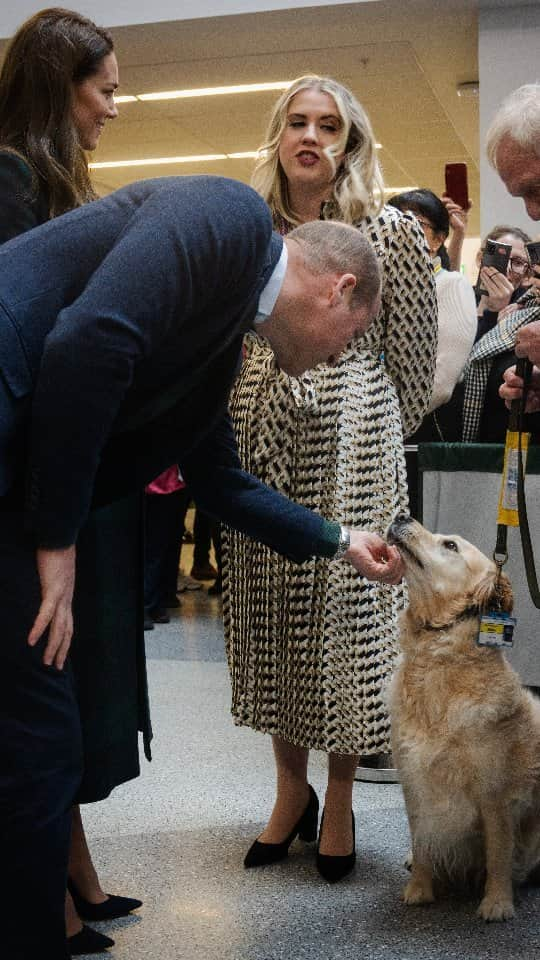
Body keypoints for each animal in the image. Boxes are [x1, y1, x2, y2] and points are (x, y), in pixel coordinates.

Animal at [386, 516, 540, 924]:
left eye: (450, 545)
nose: (402, 517)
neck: (437, 660)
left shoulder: (494, 792)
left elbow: (499, 853)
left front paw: (497, 903)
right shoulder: (414, 780)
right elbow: (421, 839)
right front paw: (420, 889)